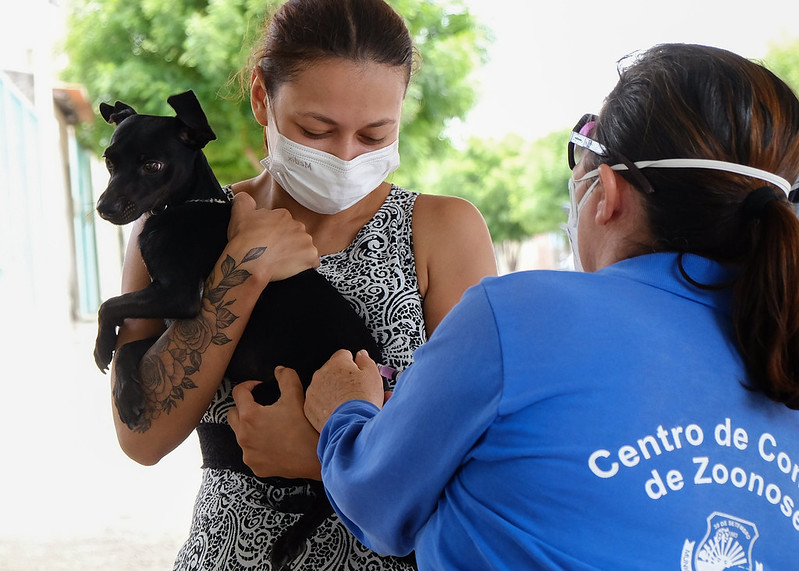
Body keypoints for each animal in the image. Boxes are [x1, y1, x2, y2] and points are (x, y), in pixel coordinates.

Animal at [91, 91, 384, 568]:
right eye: (109, 161)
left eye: (153, 165)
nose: (105, 208)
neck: (184, 208)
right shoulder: (177, 316)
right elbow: (133, 347)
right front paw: (127, 393)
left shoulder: (181, 297)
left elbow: (109, 304)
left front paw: (103, 347)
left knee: (330, 483)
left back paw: (290, 538)